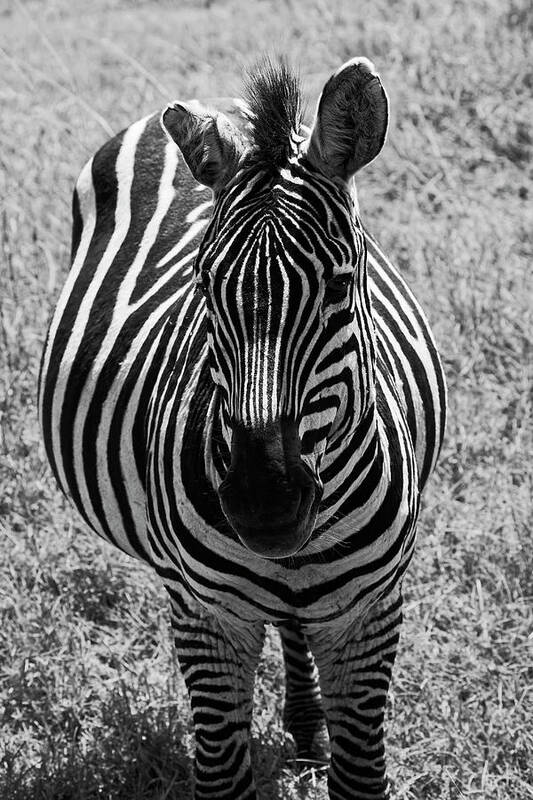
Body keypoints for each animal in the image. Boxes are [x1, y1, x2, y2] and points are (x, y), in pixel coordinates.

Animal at [39, 57, 444, 800]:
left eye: (340, 287)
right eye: (202, 288)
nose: (264, 506)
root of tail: (213, 103)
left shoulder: (369, 614)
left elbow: (361, 777)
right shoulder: (210, 620)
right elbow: (222, 774)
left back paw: (309, 735)